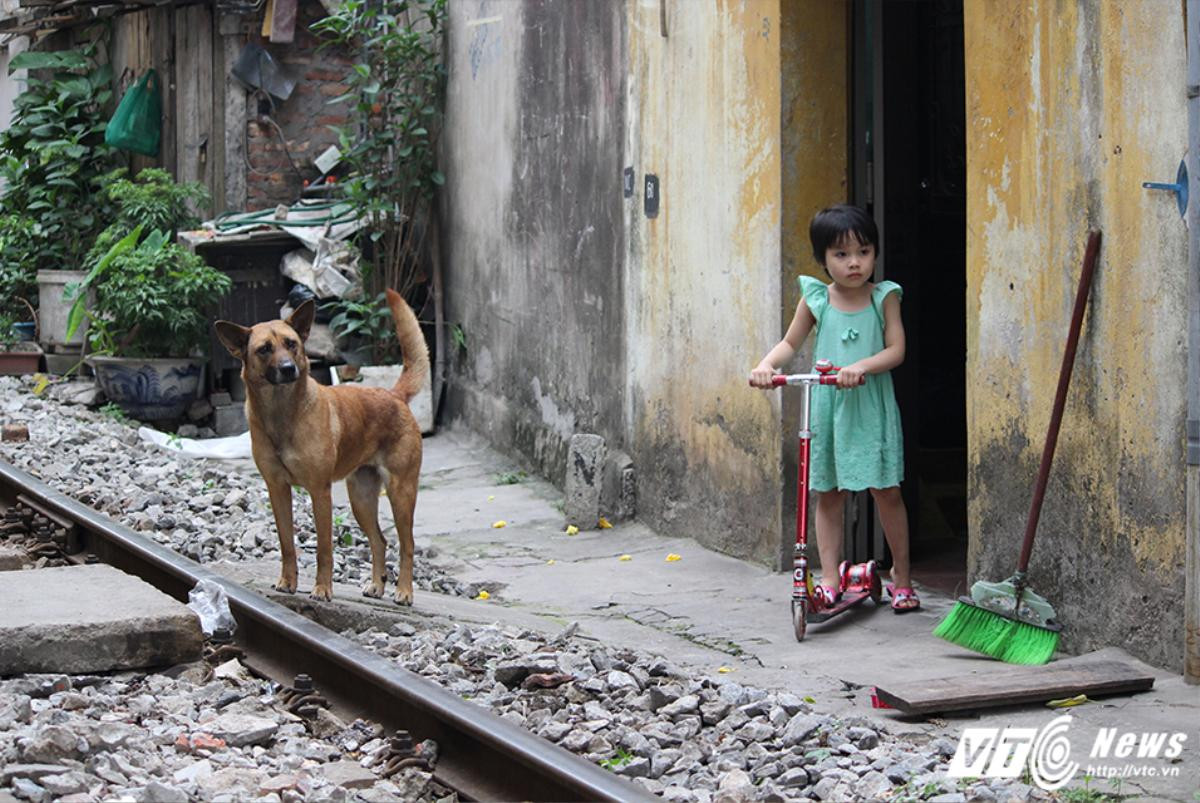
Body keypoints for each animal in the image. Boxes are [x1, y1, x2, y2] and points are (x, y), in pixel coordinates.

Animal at [214, 288, 427, 600]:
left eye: (291, 344)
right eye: (264, 349)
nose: (288, 369)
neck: (282, 413)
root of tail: (394, 395)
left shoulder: (319, 491)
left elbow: (324, 548)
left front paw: (323, 589)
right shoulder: (277, 489)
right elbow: (287, 544)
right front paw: (287, 582)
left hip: (401, 492)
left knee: (406, 544)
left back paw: (404, 592)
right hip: (361, 500)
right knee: (379, 540)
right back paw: (377, 585)